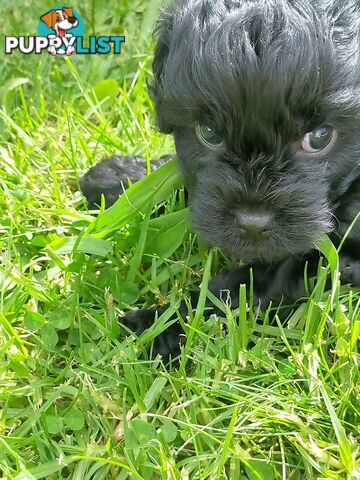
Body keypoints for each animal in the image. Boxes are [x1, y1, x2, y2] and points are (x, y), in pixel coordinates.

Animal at [81, 0, 360, 356]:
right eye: (209, 133)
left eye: (320, 137)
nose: (253, 223)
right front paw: (116, 180)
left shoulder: (319, 259)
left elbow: (238, 290)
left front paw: (155, 327)